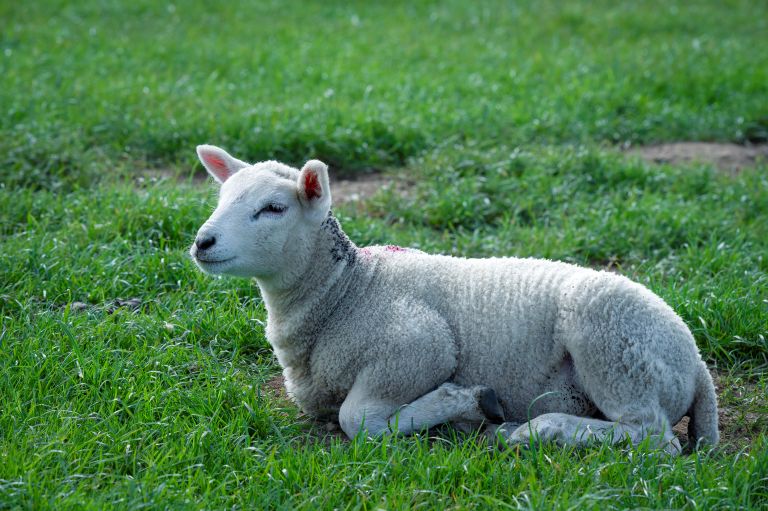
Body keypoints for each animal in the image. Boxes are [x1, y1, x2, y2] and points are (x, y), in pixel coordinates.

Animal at [189, 144, 719, 454]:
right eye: (221, 199)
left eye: (273, 208)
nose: (202, 243)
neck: (346, 291)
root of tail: (696, 363)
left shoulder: (418, 347)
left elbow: (357, 420)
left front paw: (464, 402)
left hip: (611, 343)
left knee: (652, 436)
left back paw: (536, 430)